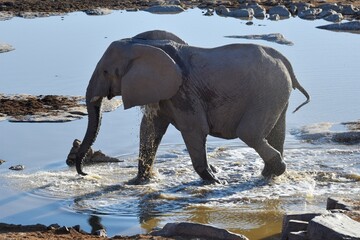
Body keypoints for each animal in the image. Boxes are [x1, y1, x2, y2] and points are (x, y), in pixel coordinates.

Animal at [74, 30, 310, 184]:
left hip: (267, 91)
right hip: (276, 91)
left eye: (106, 72)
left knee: (249, 133)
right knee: (276, 132)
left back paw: (276, 170)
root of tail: (284, 60)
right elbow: (150, 129)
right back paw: (269, 175)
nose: (84, 174)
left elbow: (194, 130)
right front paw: (140, 182)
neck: (139, 43)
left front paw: (215, 181)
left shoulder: (183, 92)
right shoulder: (166, 92)